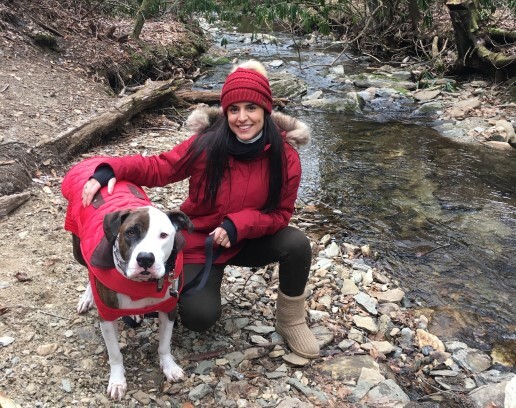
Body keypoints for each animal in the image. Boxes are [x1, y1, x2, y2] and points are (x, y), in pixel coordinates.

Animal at [61, 159, 194, 398]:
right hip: (78, 249)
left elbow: (164, 344)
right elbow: (115, 354)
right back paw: (87, 297)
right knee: (88, 269)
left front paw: (169, 367)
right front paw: (117, 381)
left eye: (164, 235)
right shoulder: (107, 316)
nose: (145, 258)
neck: (141, 285)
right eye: (131, 232)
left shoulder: (169, 309)